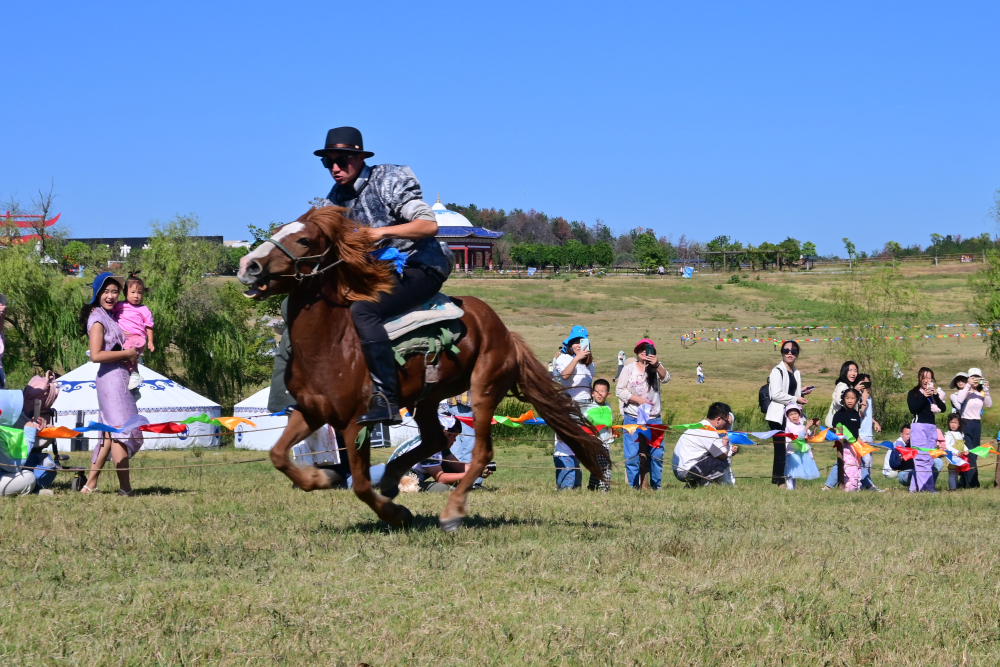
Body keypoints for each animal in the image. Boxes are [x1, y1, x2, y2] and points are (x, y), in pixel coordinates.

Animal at [238, 209, 604, 532]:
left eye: (303, 240)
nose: (248, 266)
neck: (331, 342)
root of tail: (505, 334)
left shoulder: (355, 421)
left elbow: (360, 484)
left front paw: (397, 514)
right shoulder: (311, 412)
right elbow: (279, 455)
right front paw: (321, 476)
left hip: (483, 389)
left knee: (479, 452)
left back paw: (451, 512)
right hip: (428, 399)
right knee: (435, 438)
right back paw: (393, 475)